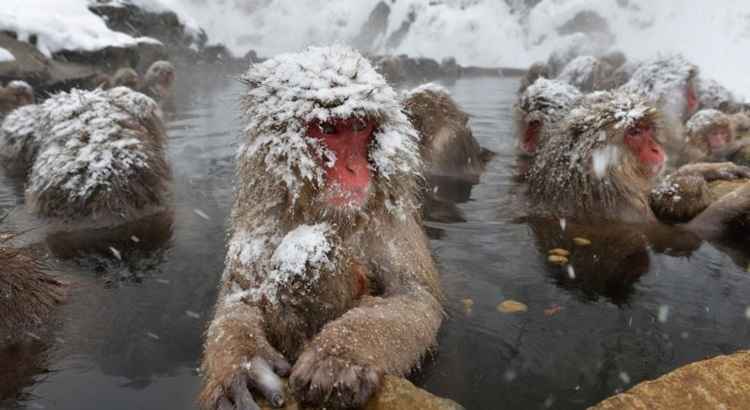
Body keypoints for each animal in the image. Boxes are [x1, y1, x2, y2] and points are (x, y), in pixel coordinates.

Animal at [201, 45, 446, 410]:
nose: (353, 168)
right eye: (328, 130)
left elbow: (415, 295)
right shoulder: (263, 215)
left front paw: (339, 354)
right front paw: (242, 364)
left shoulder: (389, 221)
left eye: (359, 126)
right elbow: (239, 296)